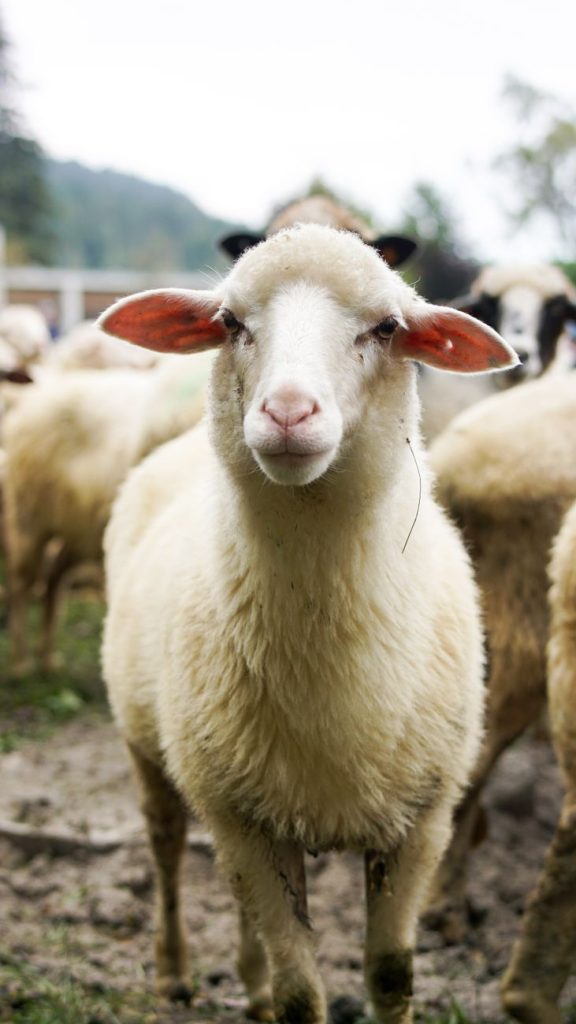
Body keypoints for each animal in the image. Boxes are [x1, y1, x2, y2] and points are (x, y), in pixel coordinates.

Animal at [2, 353, 213, 673]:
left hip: (80, 531)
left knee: (54, 578)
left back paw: (48, 657)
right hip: (28, 515)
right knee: (21, 584)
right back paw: (20, 661)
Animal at [98, 223, 516, 1023]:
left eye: (385, 329)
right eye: (231, 322)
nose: (289, 413)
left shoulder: (420, 822)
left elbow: (390, 976)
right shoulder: (246, 824)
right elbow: (301, 997)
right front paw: (276, 991)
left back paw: (248, 981)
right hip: (150, 747)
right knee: (166, 852)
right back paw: (174, 971)